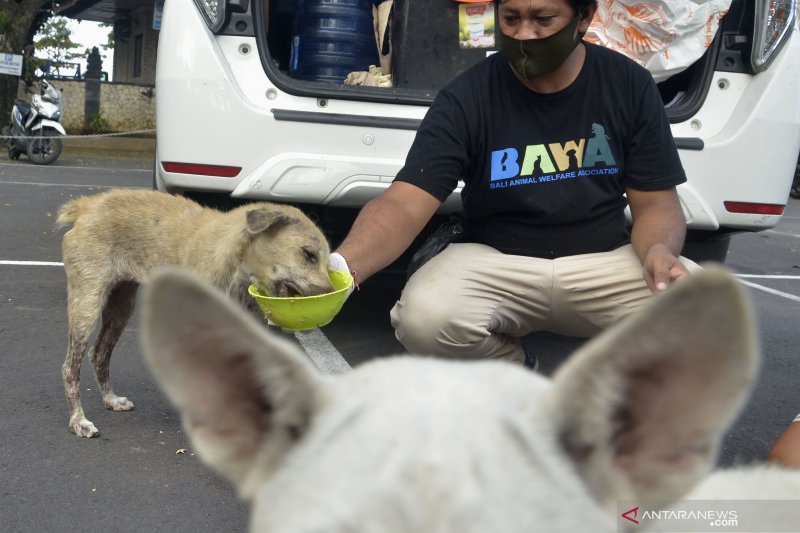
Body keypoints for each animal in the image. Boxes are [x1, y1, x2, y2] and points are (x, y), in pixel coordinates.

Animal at [56, 187, 332, 436]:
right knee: (70, 368)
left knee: (99, 353)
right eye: (308, 254)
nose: (331, 295)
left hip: (121, 304)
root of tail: (87, 206)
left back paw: (110, 399)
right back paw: (78, 421)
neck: (236, 270)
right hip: (87, 304)